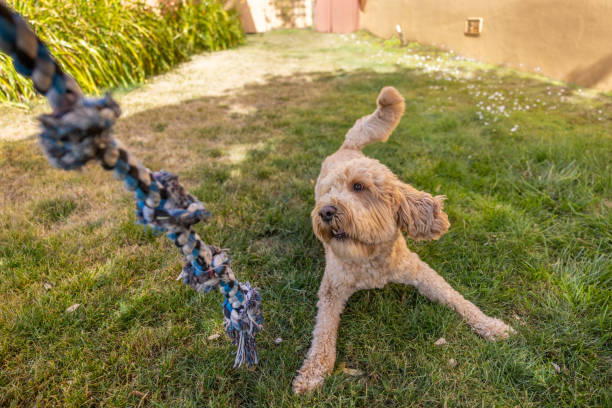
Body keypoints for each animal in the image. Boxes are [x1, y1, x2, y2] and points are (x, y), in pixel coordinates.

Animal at [294, 87, 512, 396]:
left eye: (358, 187)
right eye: (328, 191)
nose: (325, 211)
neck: (370, 257)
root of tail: (349, 147)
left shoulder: (422, 273)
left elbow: (458, 299)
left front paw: (490, 326)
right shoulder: (331, 290)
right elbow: (323, 333)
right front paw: (313, 373)